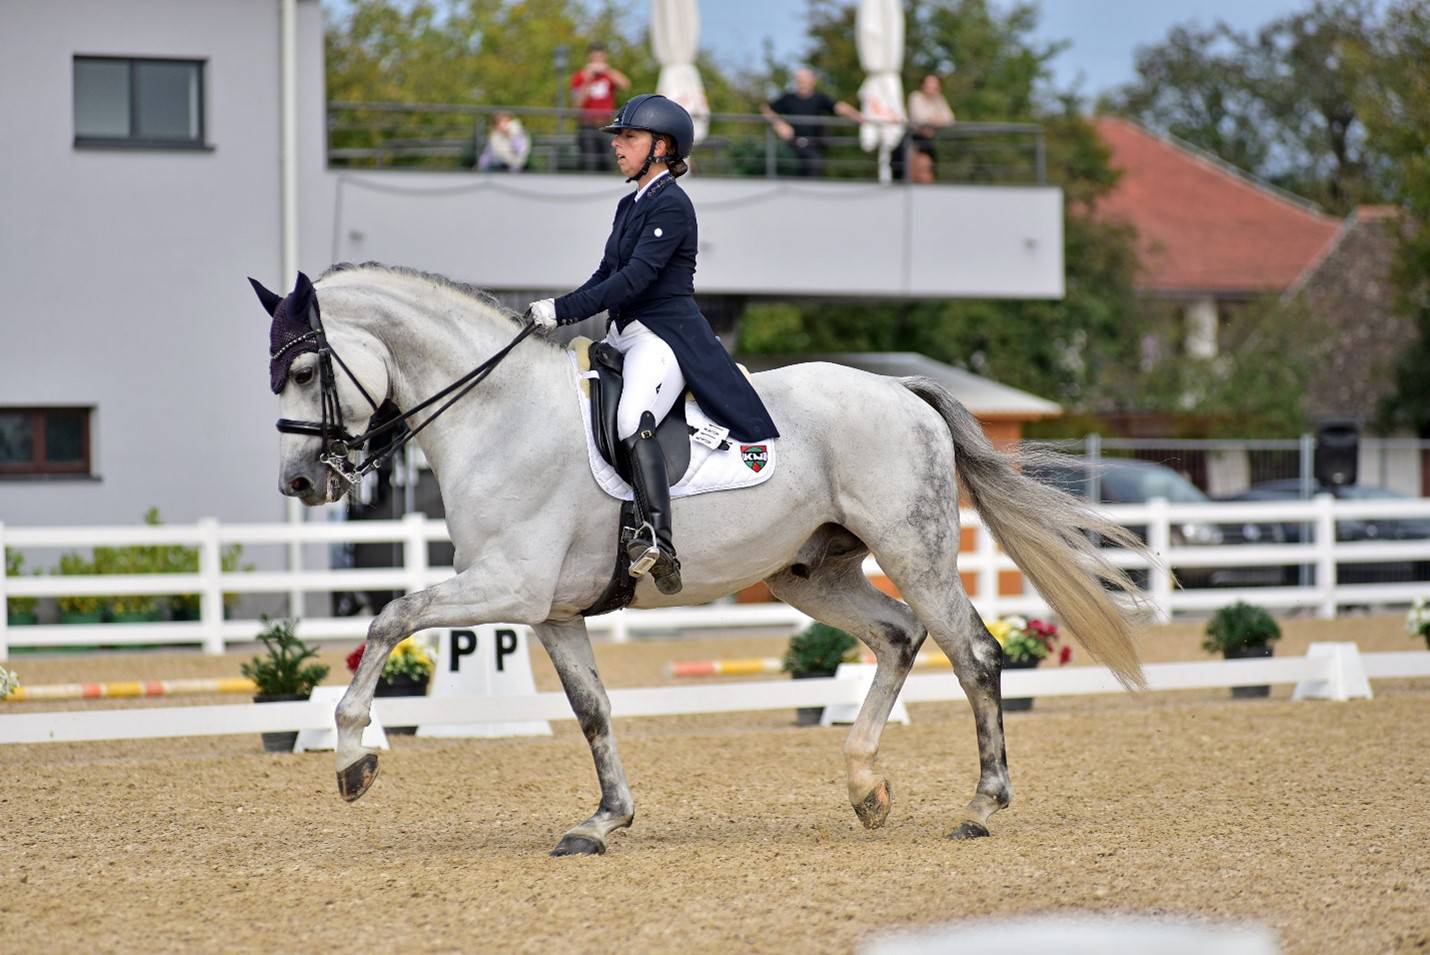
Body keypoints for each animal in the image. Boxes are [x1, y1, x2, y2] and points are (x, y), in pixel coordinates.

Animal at [263, 263, 1144, 857]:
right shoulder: (551, 610)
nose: (299, 482)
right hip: (811, 572)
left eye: (305, 369)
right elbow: (592, 710)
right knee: (898, 636)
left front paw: (353, 757)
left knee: (975, 654)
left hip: (914, 548)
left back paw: (980, 806)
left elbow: (389, 617)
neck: (495, 412)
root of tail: (902, 390)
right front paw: (602, 820)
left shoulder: (508, 585)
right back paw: (867, 787)